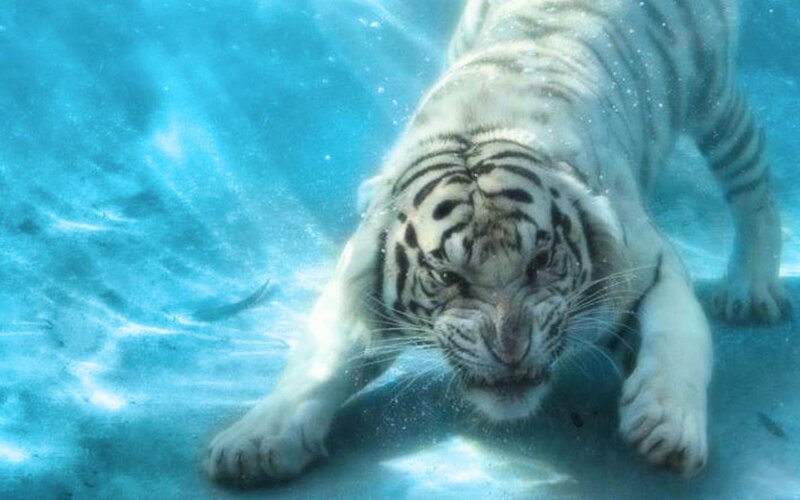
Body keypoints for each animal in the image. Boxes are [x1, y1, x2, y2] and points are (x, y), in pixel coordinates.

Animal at [206, 0, 789, 484]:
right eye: (447, 276)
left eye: (542, 259)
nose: (510, 350)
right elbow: (318, 362)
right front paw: (256, 442)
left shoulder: (651, 263)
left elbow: (677, 339)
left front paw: (668, 425)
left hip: (713, 93)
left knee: (750, 174)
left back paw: (752, 289)